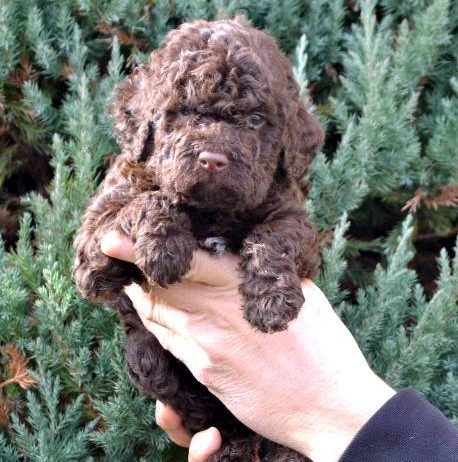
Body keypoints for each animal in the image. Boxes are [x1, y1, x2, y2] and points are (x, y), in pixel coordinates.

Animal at [74, 17, 322, 462]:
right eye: (184, 111)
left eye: (255, 120)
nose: (213, 159)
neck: (210, 212)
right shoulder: (97, 227)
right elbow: (135, 206)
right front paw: (164, 246)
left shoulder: (299, 225)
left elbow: (276, 234)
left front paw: (271, 302)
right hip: (147, 361)